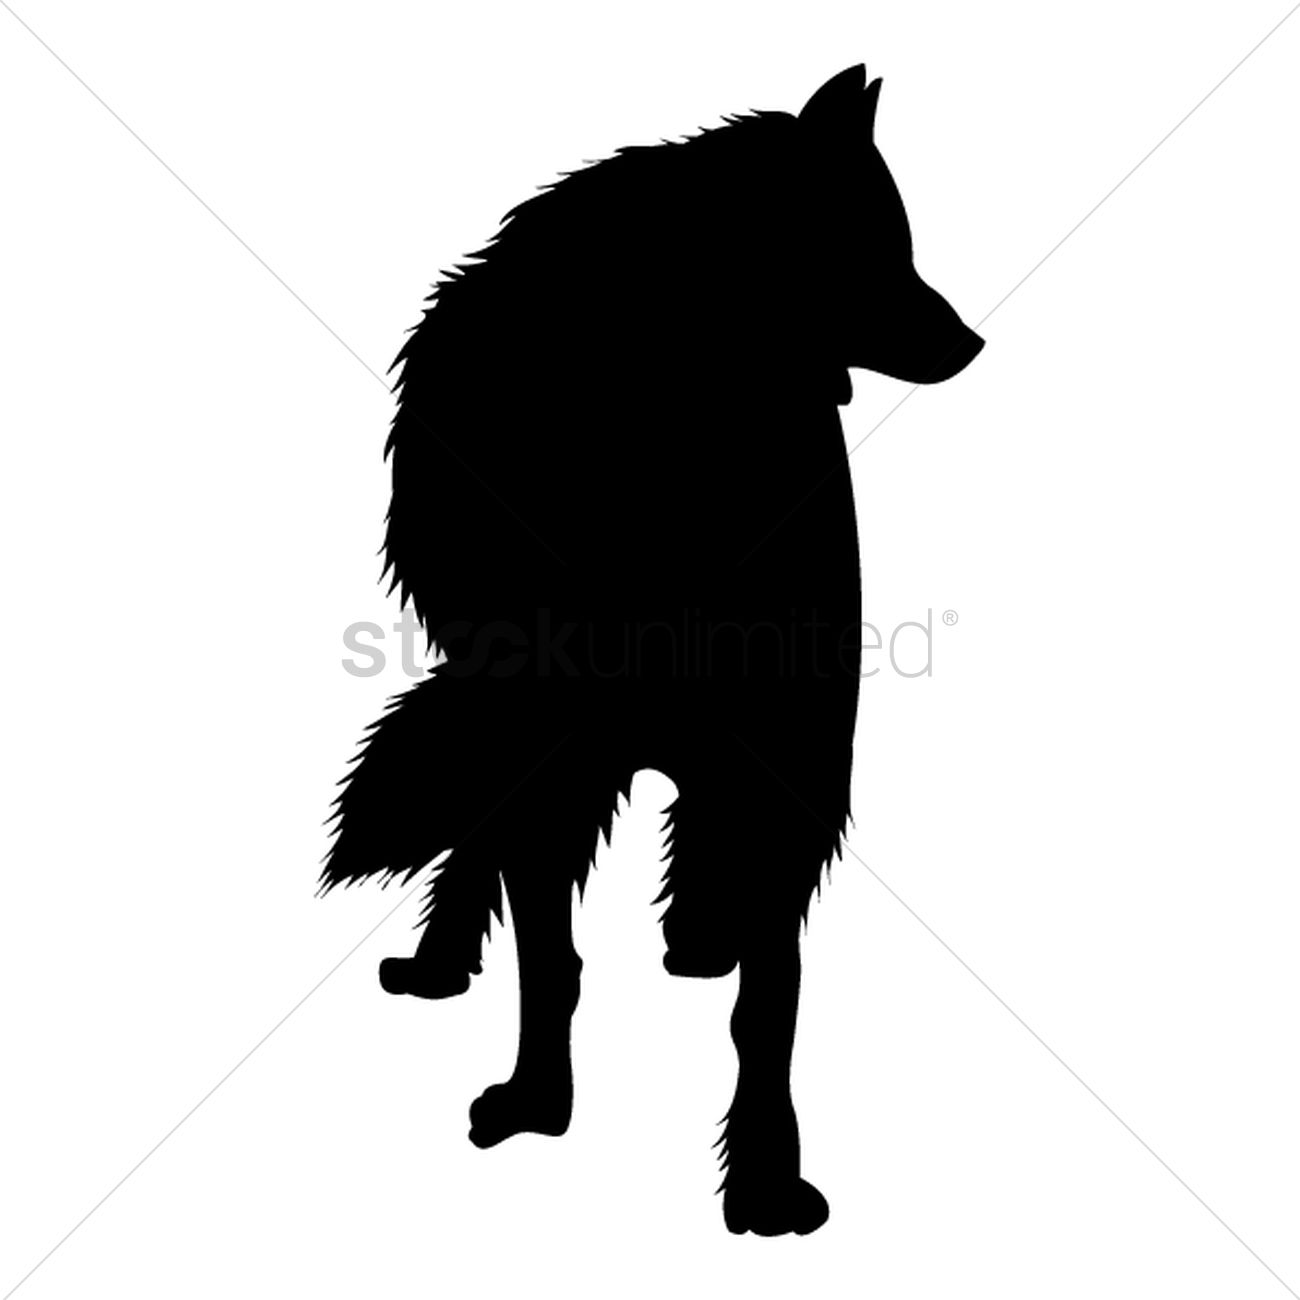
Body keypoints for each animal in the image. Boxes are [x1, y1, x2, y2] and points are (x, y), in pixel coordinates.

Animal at [322, 65, 982, 1236]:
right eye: (868, 244)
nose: (971, 342)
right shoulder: (555, 764)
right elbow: (550, 954)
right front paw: (537, 1101)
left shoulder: (785, 761)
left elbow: (768, 1004)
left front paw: (764, 1174)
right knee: (483, 827)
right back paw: (445, 962)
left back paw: (699, 936)